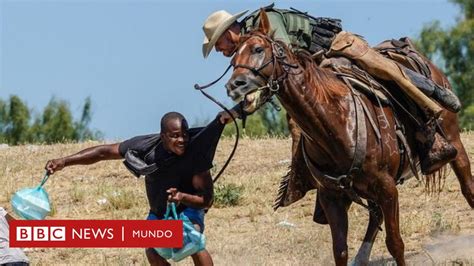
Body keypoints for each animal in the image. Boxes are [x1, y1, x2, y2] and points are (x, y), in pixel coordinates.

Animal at [224, 9, 472, 264]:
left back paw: (443, 98)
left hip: (453, 140)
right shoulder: (331, 197)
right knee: (375, 217)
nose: (235, 85)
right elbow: (340, 250)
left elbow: (395, 243)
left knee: (467, 187)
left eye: (258, 49)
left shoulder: (388, 188)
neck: (336, 124)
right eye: (233, 59)